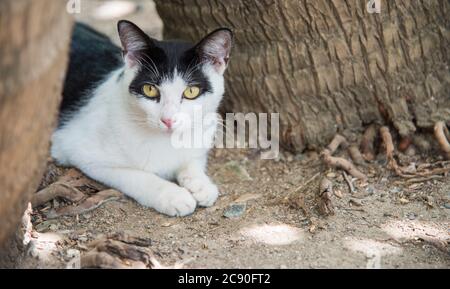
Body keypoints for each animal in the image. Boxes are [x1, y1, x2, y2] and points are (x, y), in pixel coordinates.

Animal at [52, 20, 234, 216]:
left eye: (191, 91)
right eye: (150, 89)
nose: (168, 120)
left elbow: (194, 160)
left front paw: (201, 184)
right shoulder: (78, 150)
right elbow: (136, 176)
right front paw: (173, 195)